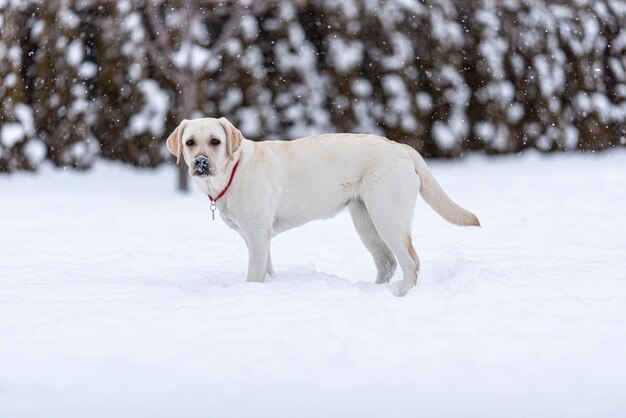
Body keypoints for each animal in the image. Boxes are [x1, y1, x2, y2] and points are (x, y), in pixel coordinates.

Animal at [166, 116, 478, 296]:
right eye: (190, 142)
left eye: (215, 141)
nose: (200, 163)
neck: (233, 170)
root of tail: (402, 148)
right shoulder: (260, 237)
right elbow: (267, 270)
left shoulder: (256, 235)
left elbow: (254, 275)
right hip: (365, 220)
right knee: (387, 262)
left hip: (387, 217)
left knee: (410, 262)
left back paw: (402, 296)